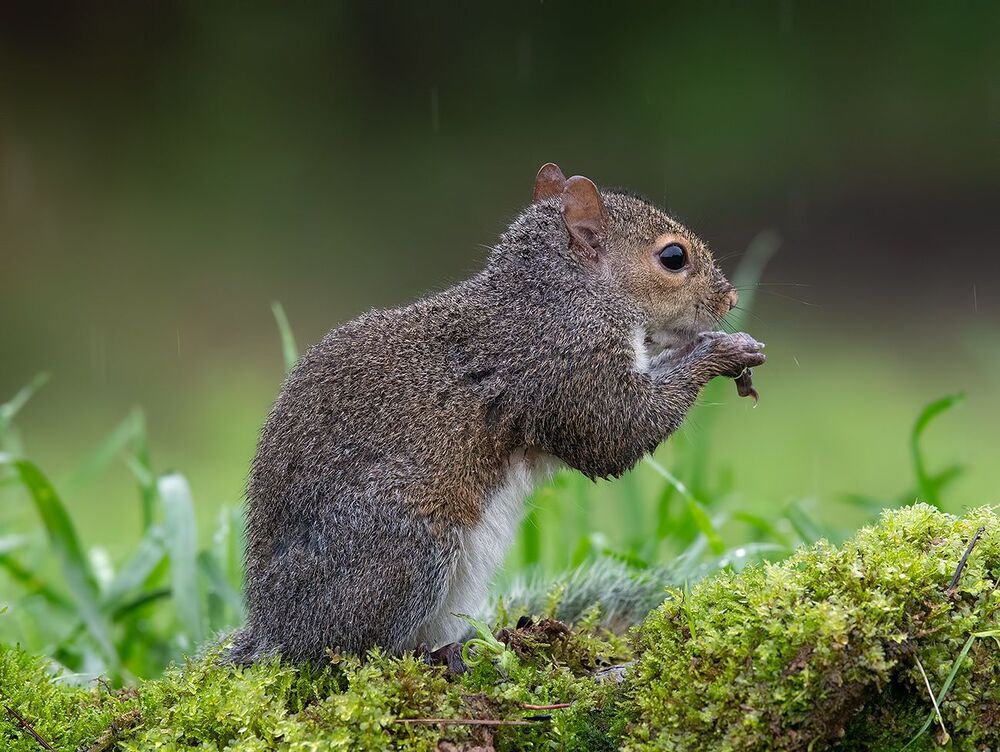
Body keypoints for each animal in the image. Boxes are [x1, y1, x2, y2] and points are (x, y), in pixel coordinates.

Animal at [226, 163, 765, 665]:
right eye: (674, 257)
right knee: (349, 652)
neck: (562, 295)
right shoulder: (568, 364)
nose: (731, 298)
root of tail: (275, 631)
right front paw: (721, 350)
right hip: (401, 541)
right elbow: (617, 431)